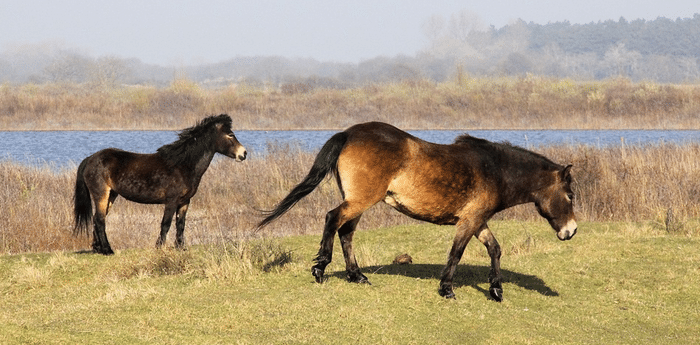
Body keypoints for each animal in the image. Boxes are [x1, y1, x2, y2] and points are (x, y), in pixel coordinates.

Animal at [74, 114, 247, 254]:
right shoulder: (171, 201)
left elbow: (180, 224)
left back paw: (98, 248)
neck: (183, 165)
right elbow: (166, 224)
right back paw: (107, 250)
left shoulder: (185, 201)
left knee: (97, 219)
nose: (243, 153)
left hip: (111, 195)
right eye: (230, 135)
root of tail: (90, 158)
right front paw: (159, 247)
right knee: (99, 220)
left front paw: (180, 247)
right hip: (101, 194)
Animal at [260, 122, 576, 300]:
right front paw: (447, 289)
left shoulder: (476, 220)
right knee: (332, 218)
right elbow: (456, 253)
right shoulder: (469, 221)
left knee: (346, 232)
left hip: (359, 201)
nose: (571, 231)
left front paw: (496, 290)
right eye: (570, 195)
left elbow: (494, 249)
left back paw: (357, 276)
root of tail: (348, 134)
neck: (495, 170)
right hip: (361, 200)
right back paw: (320, 268)